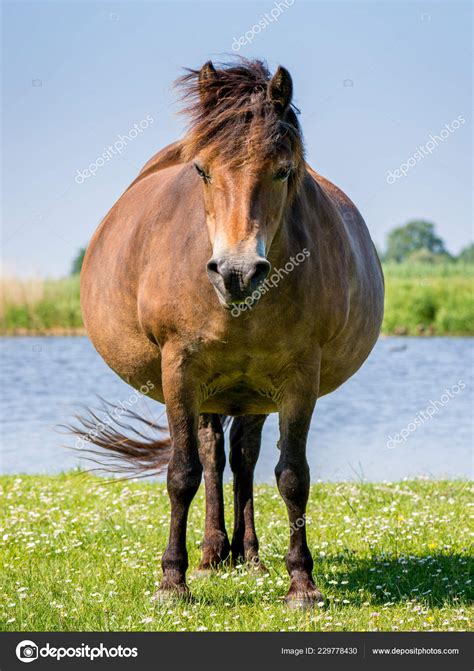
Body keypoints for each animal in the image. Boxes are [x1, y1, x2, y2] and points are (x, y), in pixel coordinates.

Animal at [77, 59, 384, 608]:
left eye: (283, 170)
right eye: (201, 170)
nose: (236, 273)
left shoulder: (298, 378)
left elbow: (292, 476)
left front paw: (301, 583)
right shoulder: (179, 369)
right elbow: (182, 473)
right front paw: (172, 581)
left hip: (253, 393)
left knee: (241, 456)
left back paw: (248, 556)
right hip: (206, 389)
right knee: (210, 455)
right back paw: (210, 555)